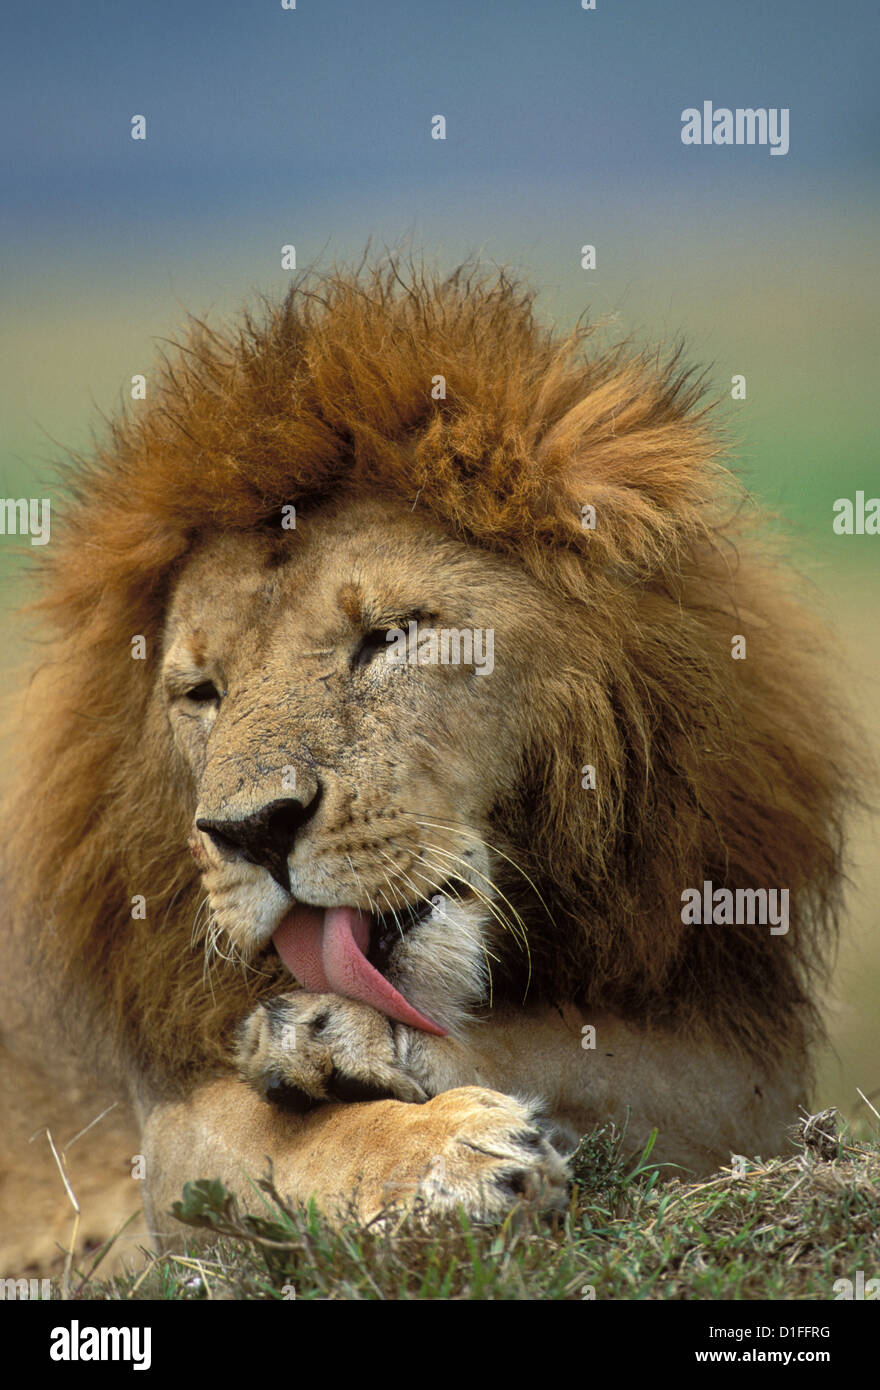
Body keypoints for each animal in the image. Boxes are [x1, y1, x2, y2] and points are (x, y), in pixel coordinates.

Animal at [0, 259, 856, 1270]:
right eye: (202, 692)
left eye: (388, 637)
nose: (251, 832)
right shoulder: (166, 1142)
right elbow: (280, 1140)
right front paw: (441, 1151)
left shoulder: (739, 1064)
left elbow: (580, 1047)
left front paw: (336, 1035)